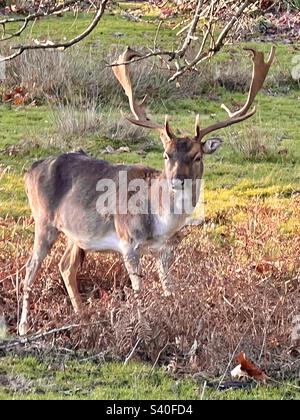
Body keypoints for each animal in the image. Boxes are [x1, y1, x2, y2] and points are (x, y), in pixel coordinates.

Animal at [18, 45, 276, 334]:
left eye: (197, 156)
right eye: (166, 154)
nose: (177, 179)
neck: (159, 222)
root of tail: (30, 170)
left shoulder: (166, 249)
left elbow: (169, 290)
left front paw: (175, 322)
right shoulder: (127, 240)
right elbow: (138, 290)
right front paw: (144, 329)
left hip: (77, 234)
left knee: (66, 265)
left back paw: (82, 317)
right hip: (43, 220)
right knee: (29, 268)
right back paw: (24, 328)